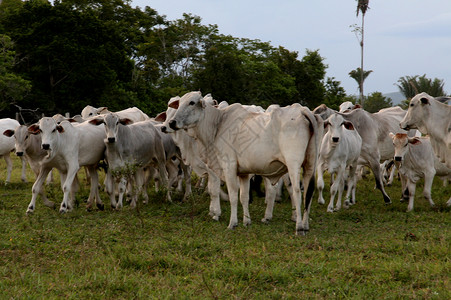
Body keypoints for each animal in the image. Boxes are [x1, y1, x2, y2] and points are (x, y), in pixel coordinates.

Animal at [169, 91, 322, 234]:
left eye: (192, 102)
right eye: (179, 103)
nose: (171, 122)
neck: (217, 124)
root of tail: (302, 110)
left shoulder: (228, 166)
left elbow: (233, 196)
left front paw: (232, 223)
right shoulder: (244, 173)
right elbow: (244, 196)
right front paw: (246, 221)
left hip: (293, 164)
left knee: (297, 191)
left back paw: (299, 227)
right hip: (310, 165)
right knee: (308, 192)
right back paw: (305, 225)